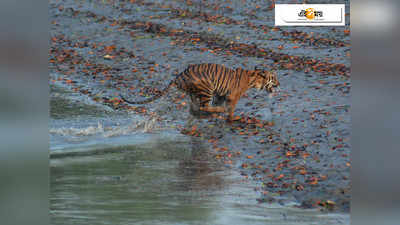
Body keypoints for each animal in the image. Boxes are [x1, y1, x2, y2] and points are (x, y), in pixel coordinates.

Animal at [120, 63, 280, 122]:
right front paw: (231, 118)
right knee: (203, 106)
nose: (279, 84)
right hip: (206, 88)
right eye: (274, 78)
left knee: (195, 108)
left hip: (195, 93)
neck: (254, 79)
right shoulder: (232, 96)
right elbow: (231, 109)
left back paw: (209, 113)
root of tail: (180, 75)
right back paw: (217, 111)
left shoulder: (220, 94)